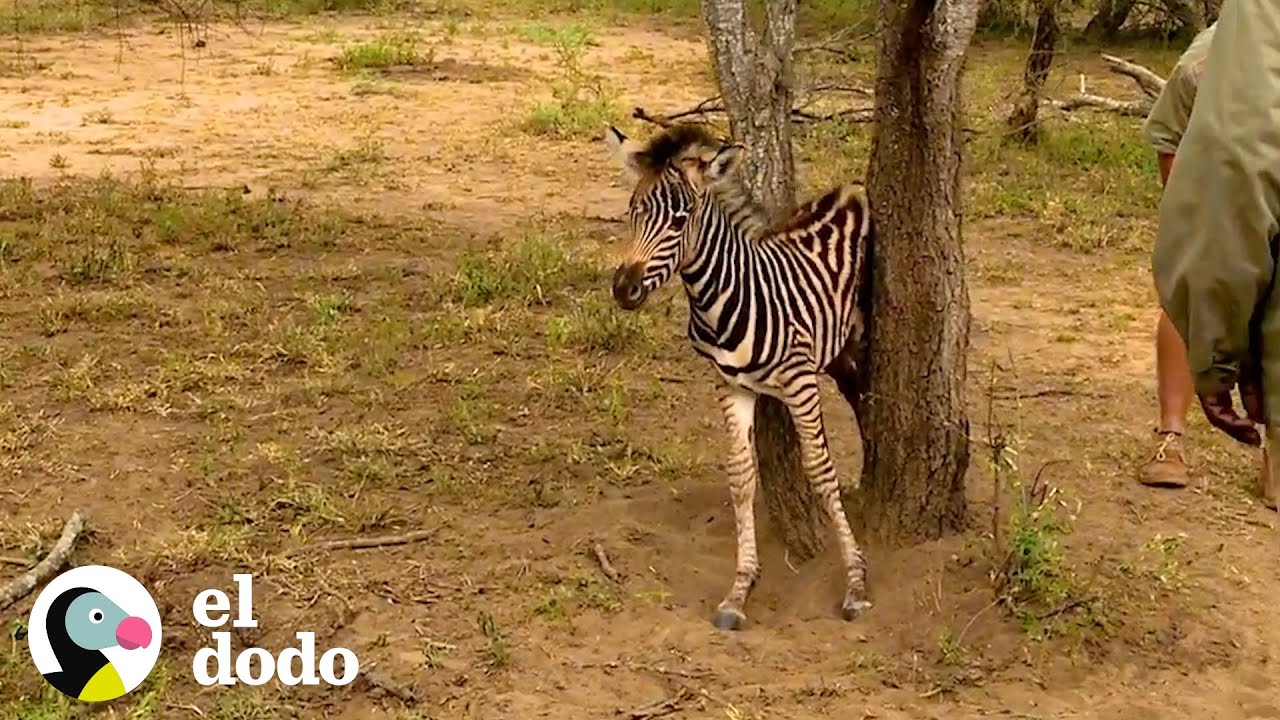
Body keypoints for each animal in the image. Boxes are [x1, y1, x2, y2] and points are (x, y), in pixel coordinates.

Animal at [602, 122, 875, 630]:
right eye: (632, 211)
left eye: (680, 219)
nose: (624, 288)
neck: (724, 299)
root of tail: (848, 188)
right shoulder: (731, 387)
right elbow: (742, 477)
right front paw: (739, 589)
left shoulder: (800, 383)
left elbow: (820, 471)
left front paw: (855, 583)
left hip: (849, 347)